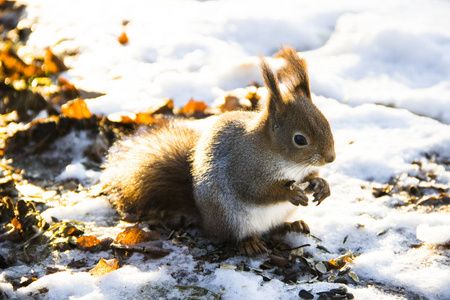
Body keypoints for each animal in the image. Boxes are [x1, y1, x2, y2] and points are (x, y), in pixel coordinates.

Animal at [102, 46, 334, 255]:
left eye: (327, 123)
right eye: (299, 139)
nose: (330, 158)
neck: (286, 161)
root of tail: (207, 221)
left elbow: (311, 177)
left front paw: (321, 184)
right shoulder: (244, 168)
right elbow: (257, 192)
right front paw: (290, 192)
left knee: (273, 228)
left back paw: (292, 225)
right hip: (231, 218)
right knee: (236, 236)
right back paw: (249, 243)